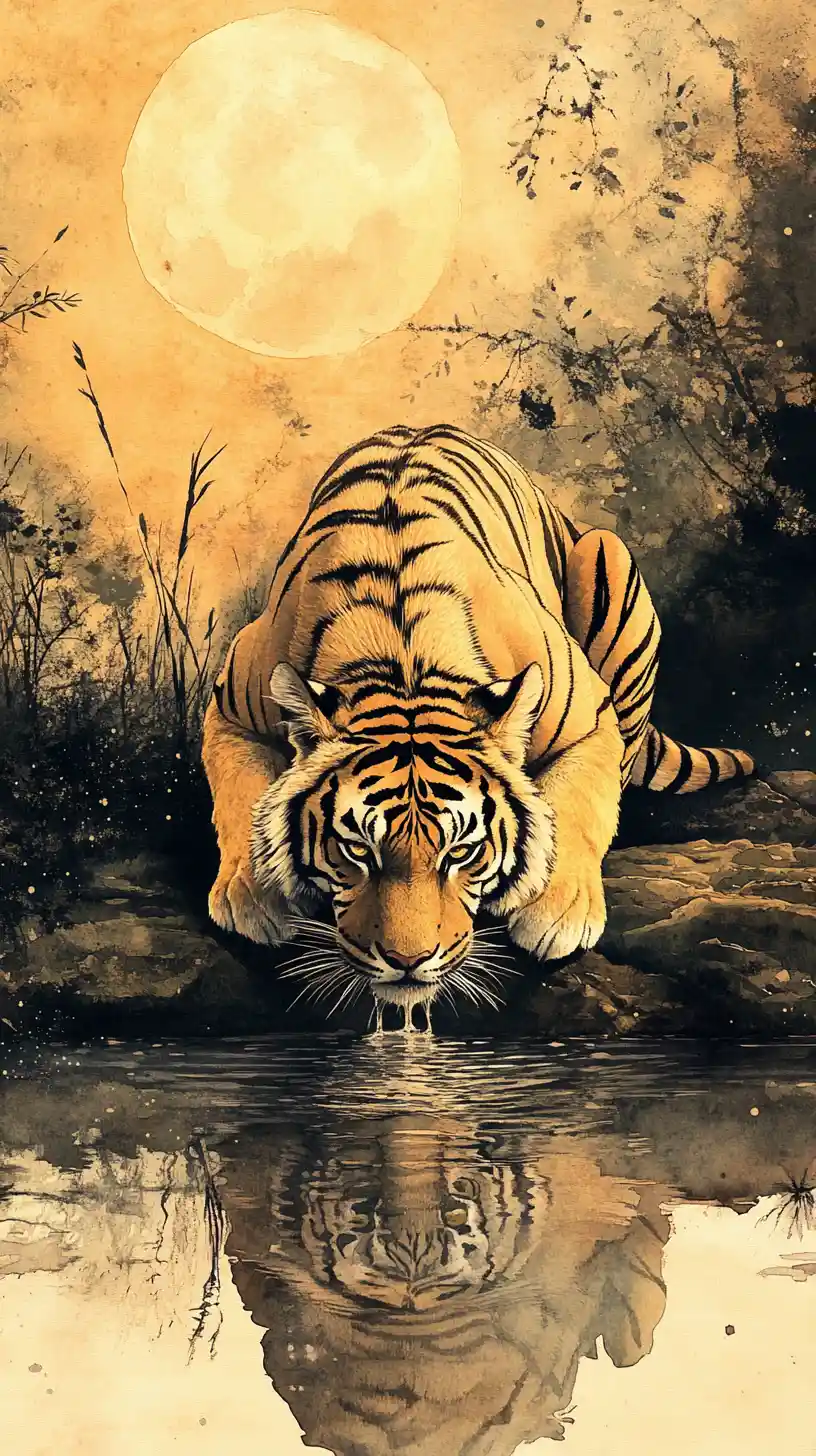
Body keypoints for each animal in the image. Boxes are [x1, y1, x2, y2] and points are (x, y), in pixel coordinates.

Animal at [202, 422, 753, 1020]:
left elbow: (578, 803)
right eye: (358, 851)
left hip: (608, 553)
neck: (402, 657)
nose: (408, 961)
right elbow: (239, 798)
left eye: (461, 853)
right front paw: (255, 897)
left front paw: (558, 911)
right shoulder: (230, 708)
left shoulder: (591, 718)